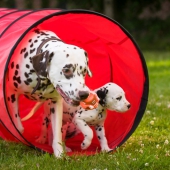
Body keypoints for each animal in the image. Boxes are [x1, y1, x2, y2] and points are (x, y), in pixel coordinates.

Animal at [5, 28, 92, 157]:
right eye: (66, 70)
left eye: (84, 71)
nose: (84, 94)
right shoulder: (12, 93)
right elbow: (17, 125)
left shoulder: (56, 103)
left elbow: (57, 133)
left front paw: (59, 153)